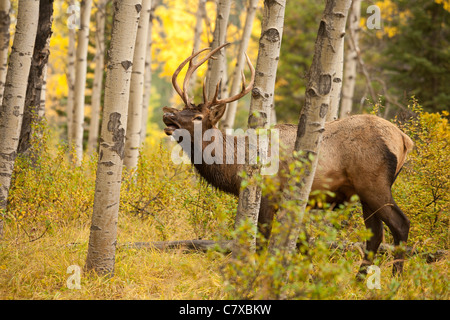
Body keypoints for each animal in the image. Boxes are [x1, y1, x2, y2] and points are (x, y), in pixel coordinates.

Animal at [163, 43, 414, 276]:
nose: (168, 115)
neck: (236, 166)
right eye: (182, 109)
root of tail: (404, 140)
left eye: (198, 116)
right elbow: (302, 244)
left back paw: (396, 279)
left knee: (400, 225)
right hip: (363, 193)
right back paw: (359, 280)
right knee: (375, 234)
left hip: (374, 184)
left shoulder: (269, 194)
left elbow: (263, 241)